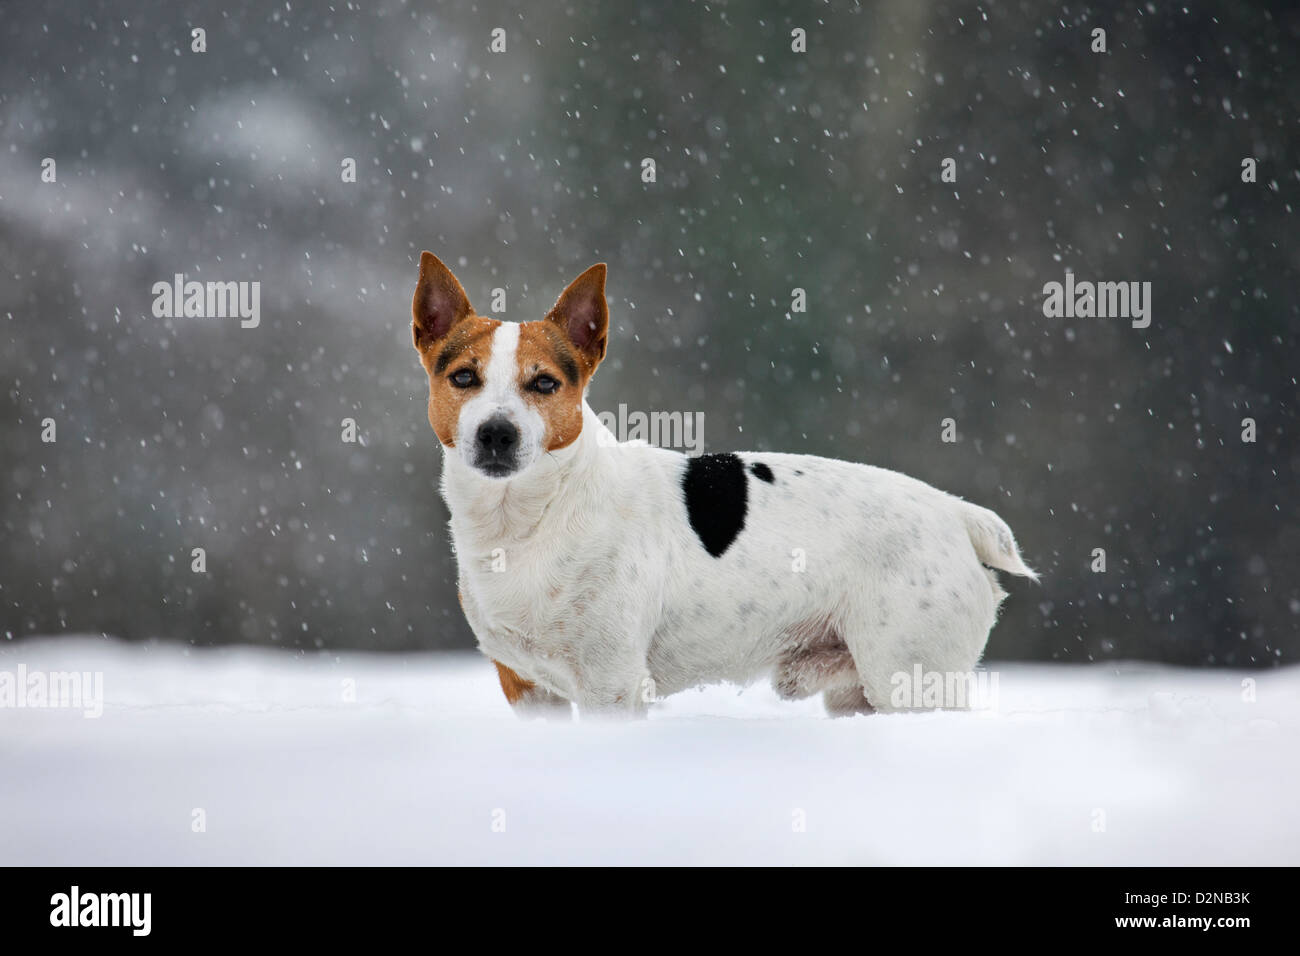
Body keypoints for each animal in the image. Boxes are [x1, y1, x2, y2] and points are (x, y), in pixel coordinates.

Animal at [410, 254, 1040, 717]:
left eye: (544, 383)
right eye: (462, 377)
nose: (496, 433)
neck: (529, 520)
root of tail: (955, 513)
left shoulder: (612, 686)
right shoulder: (527, 688)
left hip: (910, 681)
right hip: (858, 694)